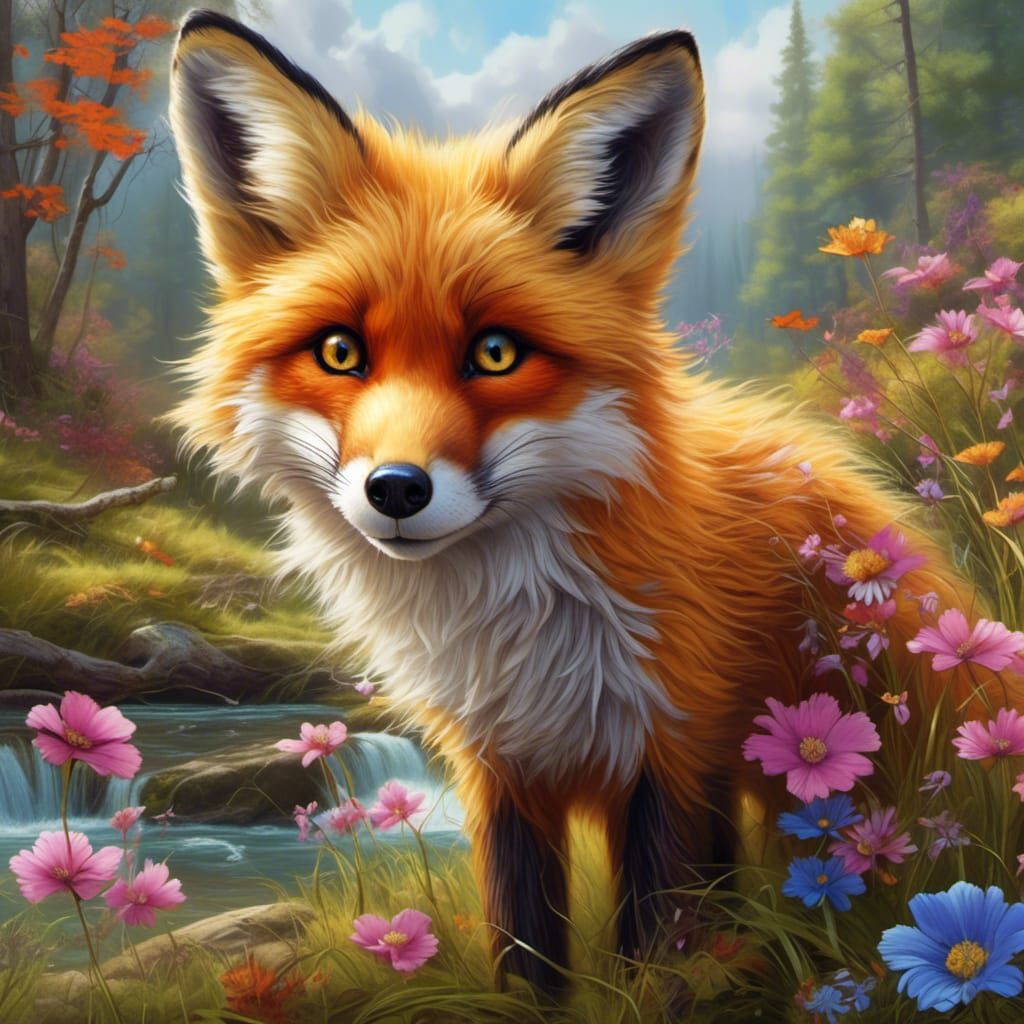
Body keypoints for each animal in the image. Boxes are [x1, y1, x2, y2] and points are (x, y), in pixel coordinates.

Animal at [168, 10, 1019, 993]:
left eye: (496, 353)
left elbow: (660, 946)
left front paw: (662, 989)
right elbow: (524, 946)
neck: (525, 632)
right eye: (340, 352)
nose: (396, 490)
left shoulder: (672, 749)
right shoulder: (501, 768)